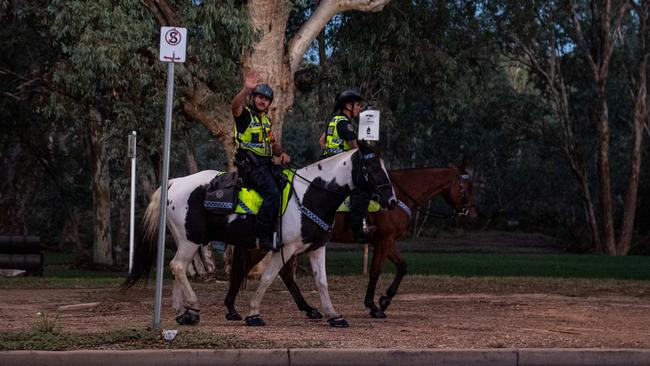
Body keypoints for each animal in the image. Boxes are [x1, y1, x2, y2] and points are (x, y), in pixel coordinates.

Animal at [121, 142, 394, 328]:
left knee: (179, 268)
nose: (391, 200)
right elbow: (268, 278)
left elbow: (321, 282)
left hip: (184, 238)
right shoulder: (284, 248)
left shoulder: (316, 248)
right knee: (177, 266)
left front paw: (333, 315)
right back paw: (194, 307)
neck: (310, 195)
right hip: (191, 240)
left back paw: (184, 312)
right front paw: (253, 313)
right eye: (371, 167)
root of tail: (174, 182)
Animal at [220, 163, 474, 320]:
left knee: (283, 273)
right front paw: (374, 305)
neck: (399, 195)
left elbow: (402, 267)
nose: (471, 215)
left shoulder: (386, 241)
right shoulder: (384, 240)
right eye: (467, 187)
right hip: (268, 244)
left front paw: (384, 300)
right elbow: (376, 271)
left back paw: (309, 309)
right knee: (248, 267)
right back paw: (232, 306)